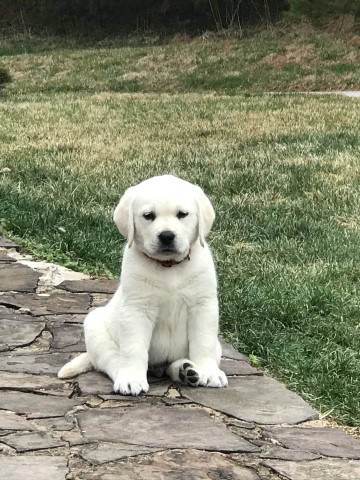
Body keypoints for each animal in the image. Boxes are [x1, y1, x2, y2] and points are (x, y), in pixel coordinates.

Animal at [59, 174, 228, 396]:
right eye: (148, 216)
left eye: (182, 214)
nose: (167, 236)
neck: (169, 267)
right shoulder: (136, 309)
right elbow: (134, 349)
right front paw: (132, 380)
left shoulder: (203, 305)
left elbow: (203, 342)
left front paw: (209, 372)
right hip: (94, 328)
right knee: (112, 360)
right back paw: (127, 375)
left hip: (217, 347)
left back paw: (186, 370)